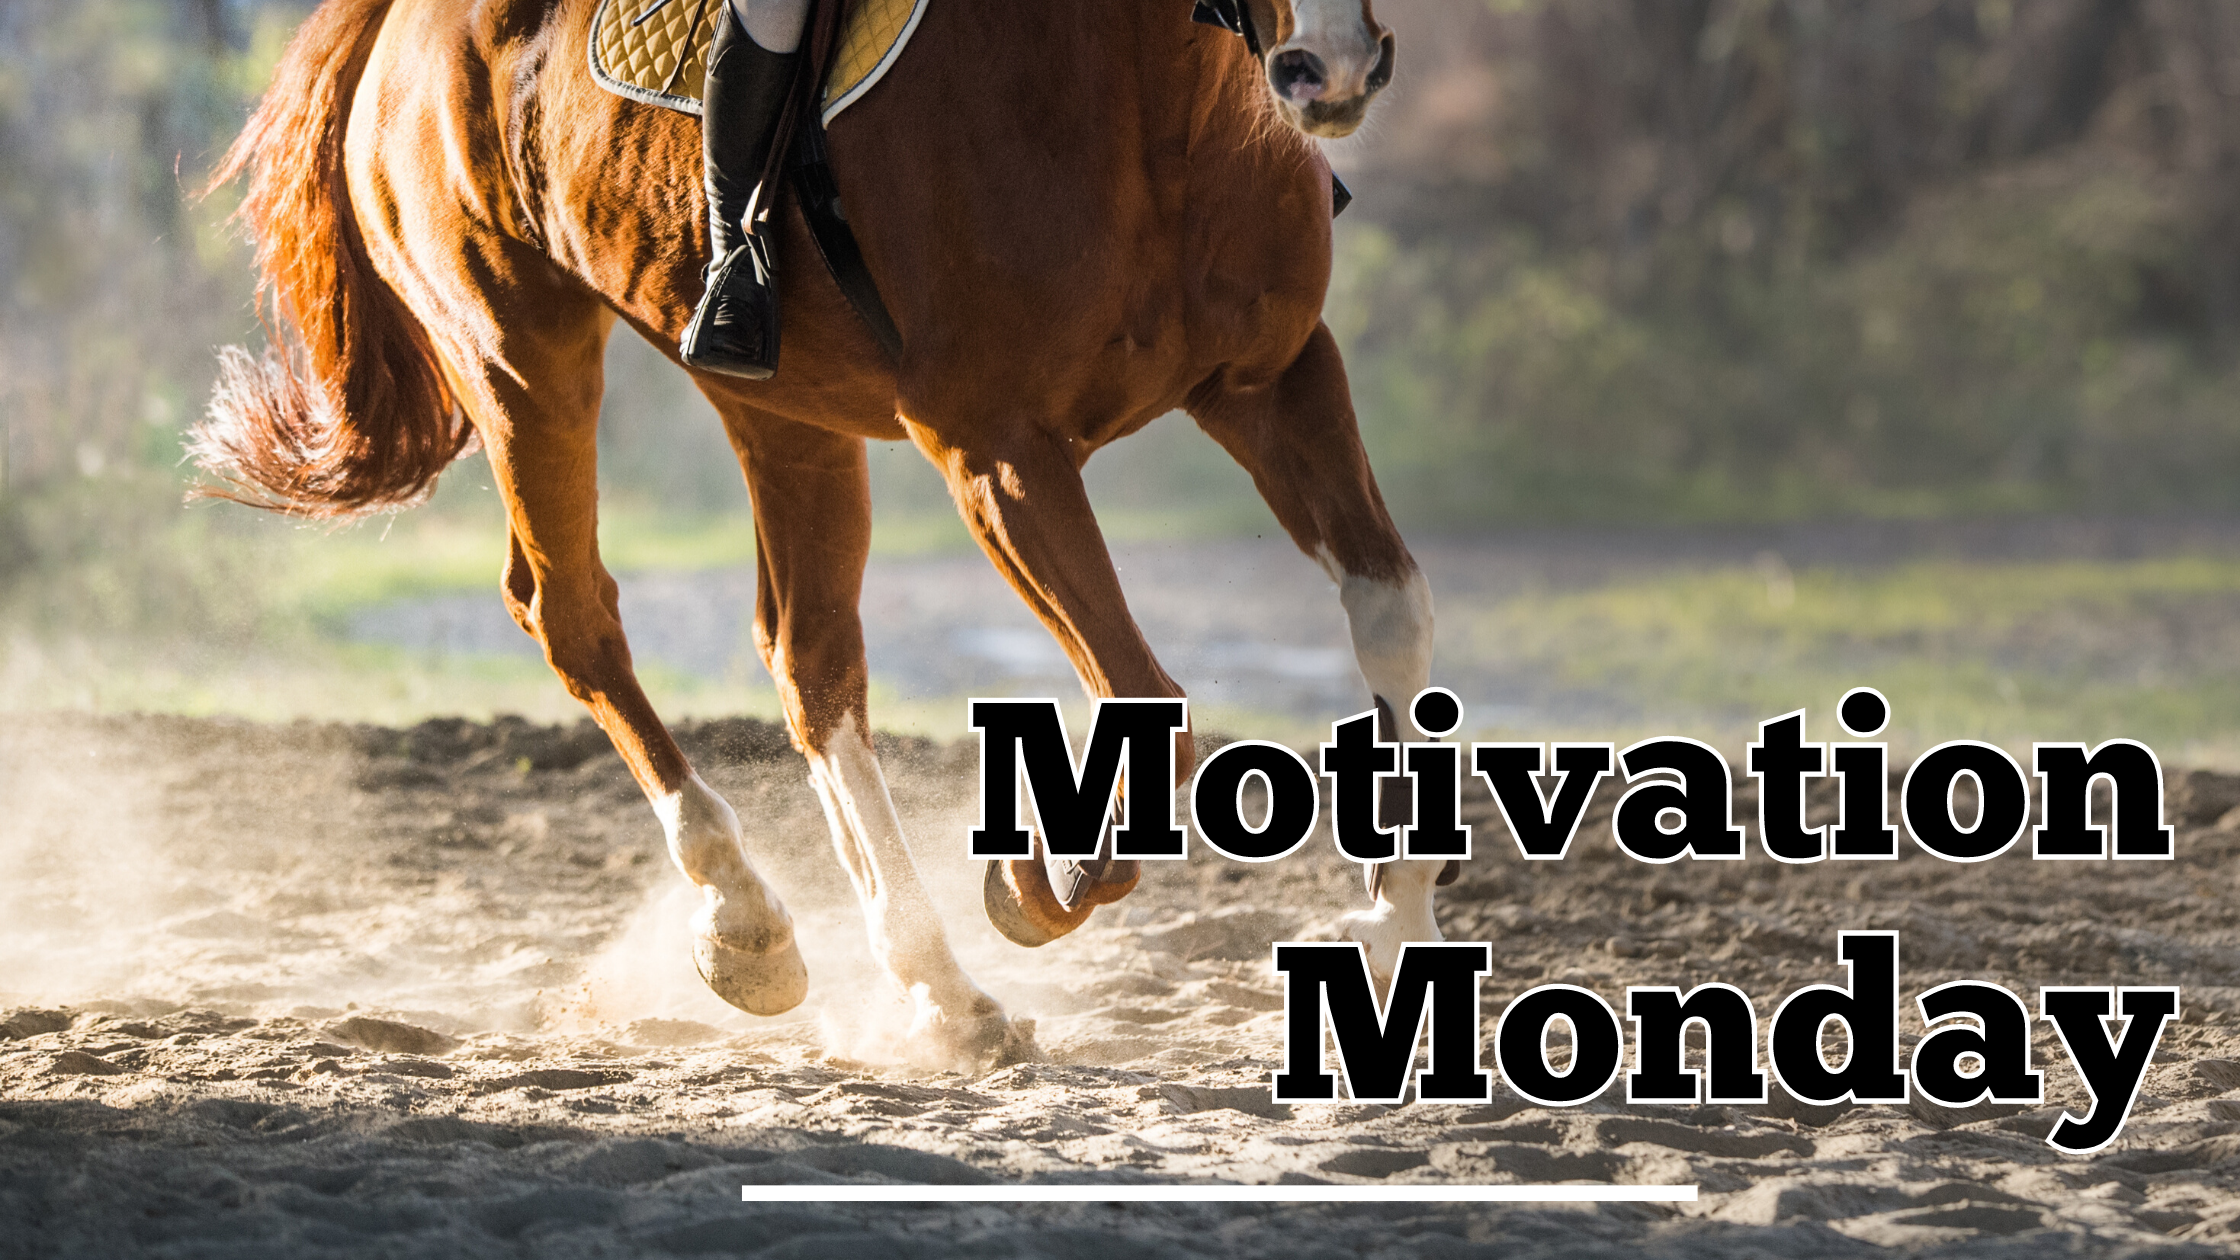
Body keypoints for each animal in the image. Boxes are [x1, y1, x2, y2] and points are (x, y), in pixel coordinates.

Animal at [210, 0, 1433, 1067]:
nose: (1327, 71)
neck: (1150, 101)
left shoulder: (1274, 381)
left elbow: (1392, 618)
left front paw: (1388, 940)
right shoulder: (997, 453)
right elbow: (1149, 703)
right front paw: (1040, 883)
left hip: (778, 407)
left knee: (809, 664)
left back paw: (934, 988)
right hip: (518, 351)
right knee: (571, 615)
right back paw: (745, 919)